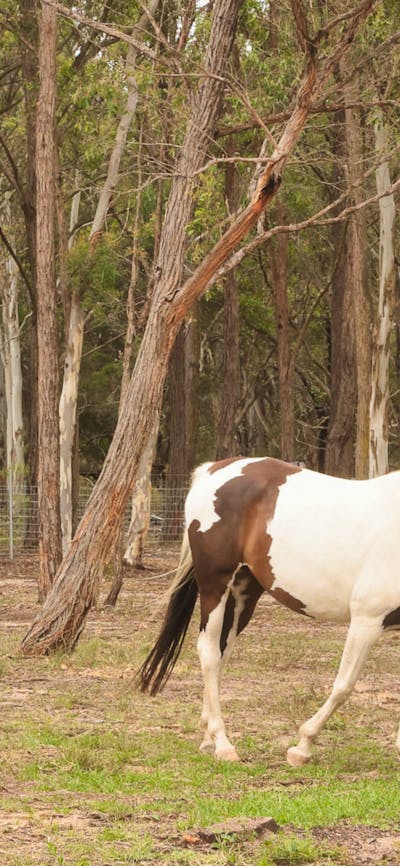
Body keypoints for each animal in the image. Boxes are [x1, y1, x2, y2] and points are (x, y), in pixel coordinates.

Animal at [138, 456, 400, 766]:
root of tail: (213, 469)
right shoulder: (367, 620)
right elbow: (343, 686)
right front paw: (302, 747)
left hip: (242, 593)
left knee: (222, 653)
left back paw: (208, 739)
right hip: (215, 585)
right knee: (210, 653)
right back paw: (223, 743)